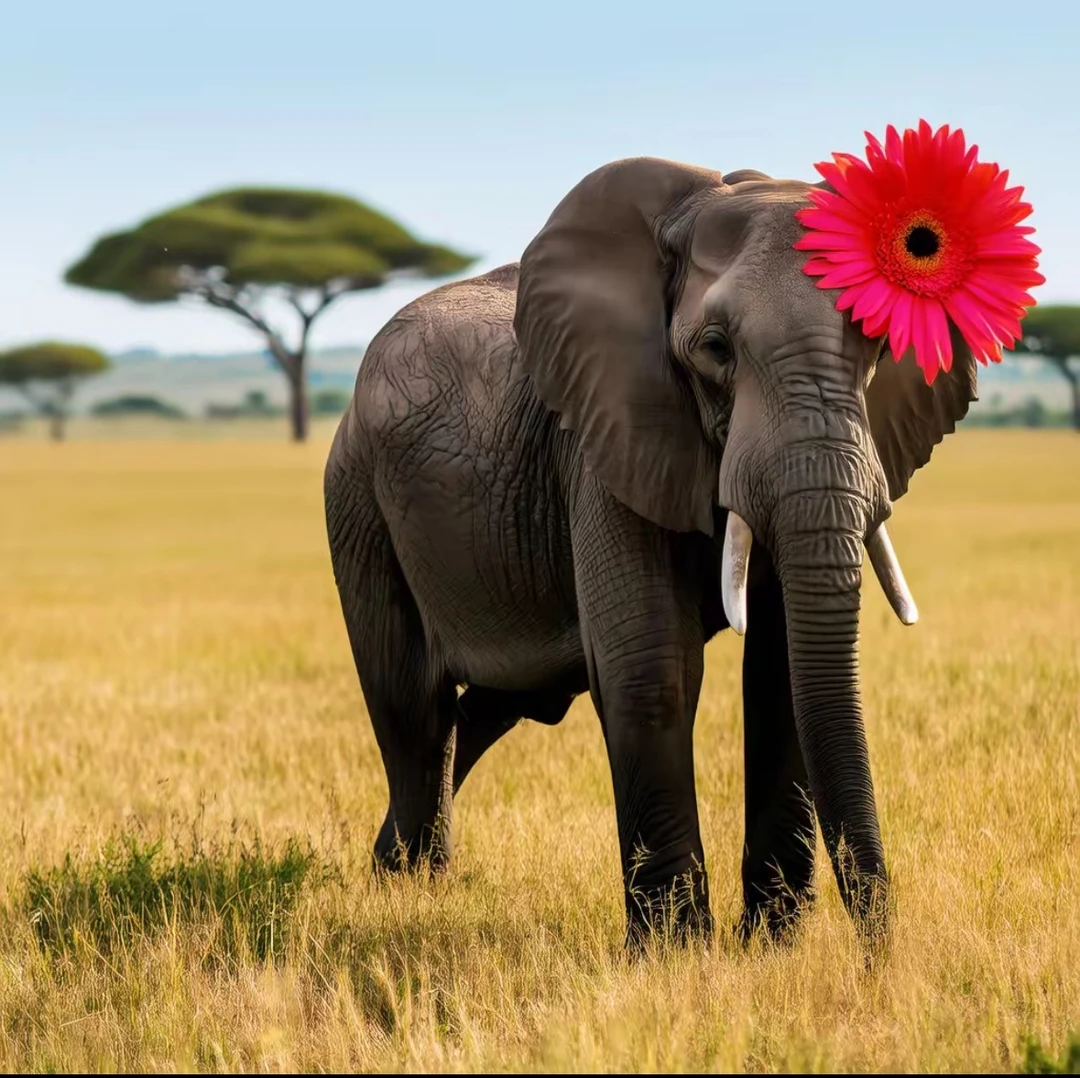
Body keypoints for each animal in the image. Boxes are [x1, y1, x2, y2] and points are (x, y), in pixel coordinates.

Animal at [323, 156, 976, 950]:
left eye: (880, 348)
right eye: (716, 349)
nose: (876, 956)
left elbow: (781, 674)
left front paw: (771, 946)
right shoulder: (605, 436)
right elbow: (650, 669)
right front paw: (677, 952)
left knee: (492, 704)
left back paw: (399, 866)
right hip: (357, 497)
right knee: (409, 699)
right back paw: (408, 888)